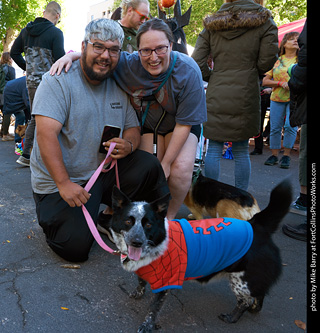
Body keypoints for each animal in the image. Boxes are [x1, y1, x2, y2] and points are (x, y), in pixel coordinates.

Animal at [109, 180, 292, 330]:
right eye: (128, 221)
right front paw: (138, 293)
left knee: (245, 301)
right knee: (259, 294)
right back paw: (254, 309)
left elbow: (153, 308)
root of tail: (257, 225)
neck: (157, 242)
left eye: (148, 224)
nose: (137, 242)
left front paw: (147, 325)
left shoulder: (166, 282)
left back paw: (232, 317)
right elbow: (141, 282)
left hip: (240, 281)